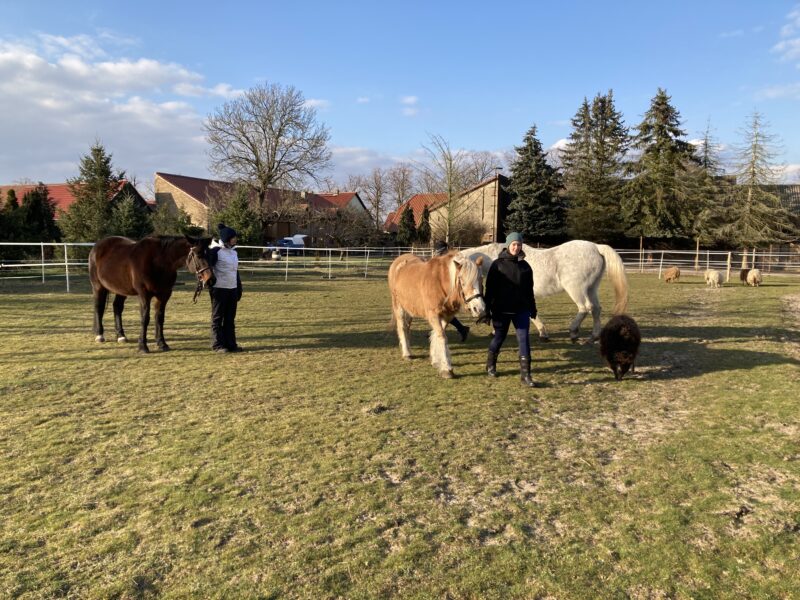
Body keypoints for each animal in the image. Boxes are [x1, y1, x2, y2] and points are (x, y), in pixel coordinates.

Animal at [460, 240, 628, 342]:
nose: (475, 309)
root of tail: (596, 247)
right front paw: (543, 333)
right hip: (591, 288)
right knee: (596, 309)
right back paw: (594, 336)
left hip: (576, 289)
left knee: (585, 308)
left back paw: (573, 331)